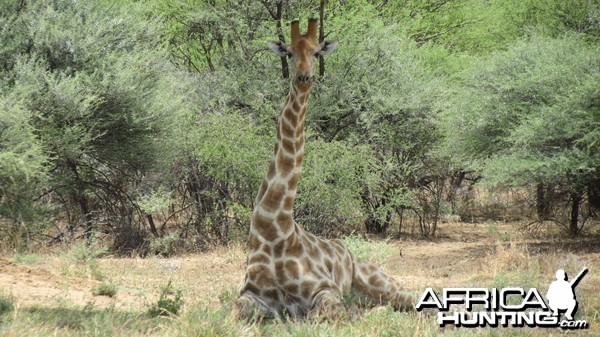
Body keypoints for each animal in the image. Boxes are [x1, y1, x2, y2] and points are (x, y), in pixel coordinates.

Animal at [233, 18, 418, 320]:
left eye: (317, 52)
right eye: (289, 52)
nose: (304, 78)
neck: (274, 229)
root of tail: (345, 248)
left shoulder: (324, 289)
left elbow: (329, 314)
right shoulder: (252, 295)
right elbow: (227, 312)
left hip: (380, 280)